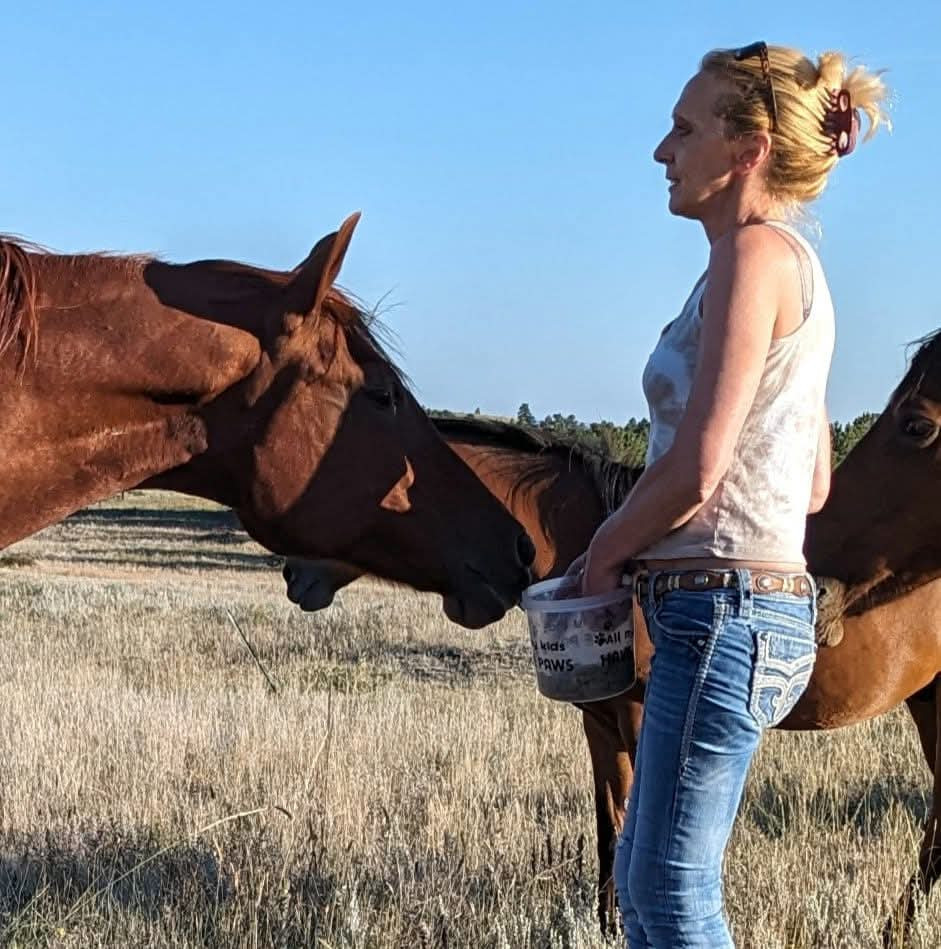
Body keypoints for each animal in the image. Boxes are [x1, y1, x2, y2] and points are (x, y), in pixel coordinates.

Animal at [284, 333, 941, 944]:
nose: (293, 573)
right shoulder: (598, 722)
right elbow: (607, 831)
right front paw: (603, 924)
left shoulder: (637, 714)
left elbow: (627, 823)